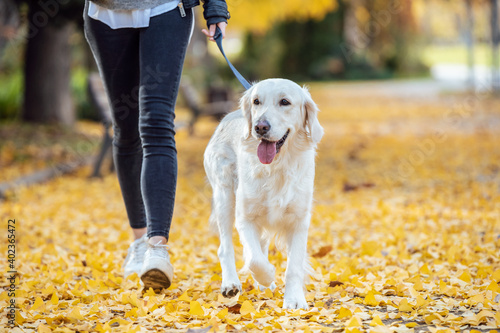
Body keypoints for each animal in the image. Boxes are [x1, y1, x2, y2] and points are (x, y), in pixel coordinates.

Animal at [203, 78, 324, 308]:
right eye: (256, 101)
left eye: (285, 102)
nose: (259, 126)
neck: (276, 168)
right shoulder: (245, 217)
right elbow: (254, 259)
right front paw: (267, 275)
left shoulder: (299, 220)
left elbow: (293, 267)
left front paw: (294, 300)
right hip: (224, 197)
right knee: (226, 248)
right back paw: (231, 283)